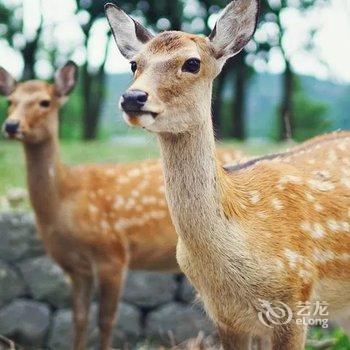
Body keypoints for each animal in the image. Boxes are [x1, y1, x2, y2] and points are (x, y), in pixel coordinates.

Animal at [0, 63, 242, 350]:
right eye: (10, 101)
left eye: (44, 102)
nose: (11, 125)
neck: (65, 199)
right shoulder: (75, 267)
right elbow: (78, 318)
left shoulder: (113, 253)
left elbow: (107, 320)